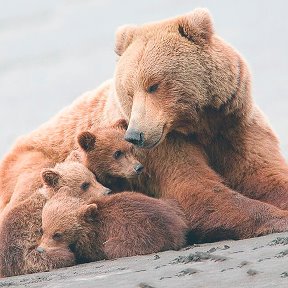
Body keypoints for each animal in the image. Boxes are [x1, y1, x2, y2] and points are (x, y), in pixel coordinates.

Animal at [0, 9, 288, 242]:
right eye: (129, 91)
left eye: (153, 85)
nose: (135, 135)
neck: (200, 125)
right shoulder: (164, 147)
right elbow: (193, 189)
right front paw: (276, 217)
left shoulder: (235, 124)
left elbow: (262, 173)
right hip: (34, 163)